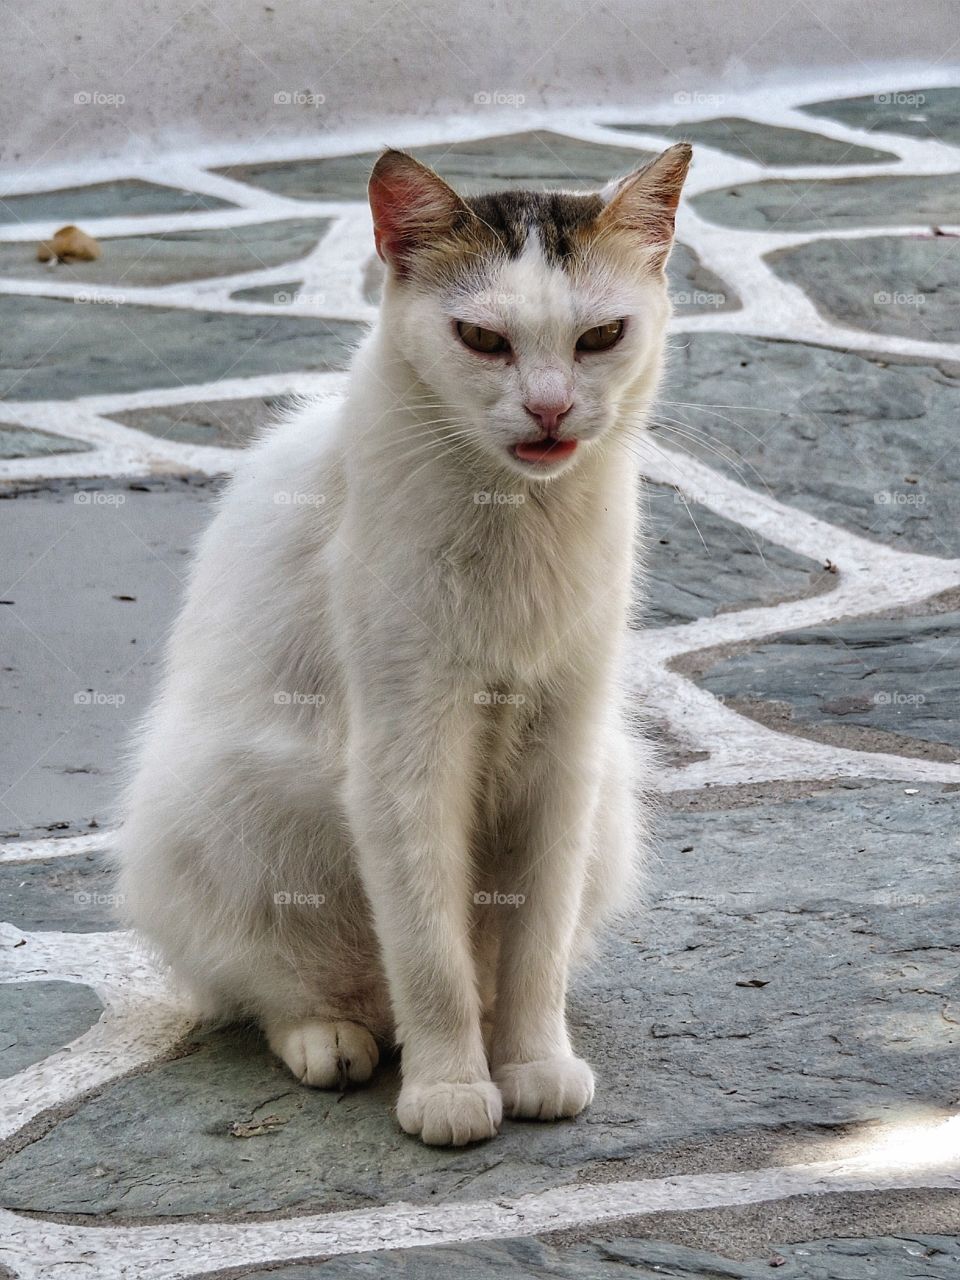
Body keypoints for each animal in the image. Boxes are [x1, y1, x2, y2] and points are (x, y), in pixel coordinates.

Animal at [118, 142, 691, 1152]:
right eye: (483, 340)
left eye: (600, 337)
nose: (550, 410)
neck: (516, 512)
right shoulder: (405, 758)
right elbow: (430, 957)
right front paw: (450, 1087)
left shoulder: (566, 756)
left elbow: (535, 946)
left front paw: (531, 1063)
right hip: (224, 804)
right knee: (290, 986)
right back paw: (335, 1038)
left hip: (613, 793)